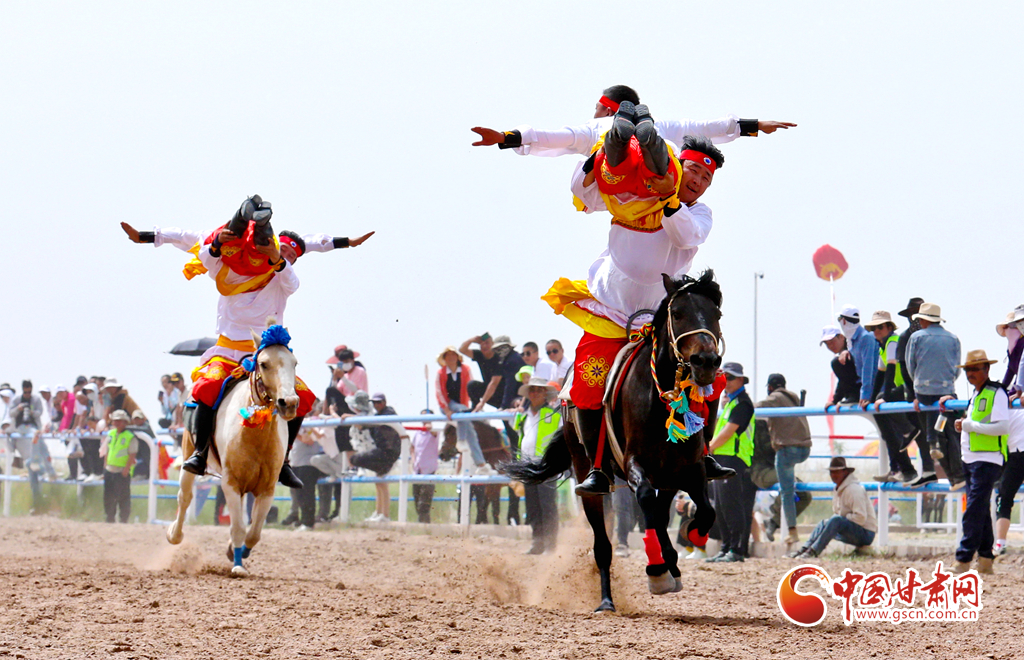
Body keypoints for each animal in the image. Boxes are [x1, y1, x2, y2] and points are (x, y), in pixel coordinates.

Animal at [166, 325, 299, 577]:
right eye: (264, 364)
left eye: (294, 363)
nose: (289, 402)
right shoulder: (231, 483)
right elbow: (238, 527)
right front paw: (238, 565)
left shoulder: (267, 488)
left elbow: (254, 533)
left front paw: (236, 553)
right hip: (188, 457)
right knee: (184, 497)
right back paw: (173, 534)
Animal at [505, 270, 724, 612]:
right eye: (677, 313)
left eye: (716, 314)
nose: (706, 361)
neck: (660, 399)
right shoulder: (634, 463)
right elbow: (647, 500)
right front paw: (658, 570)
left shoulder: (689, 468)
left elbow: (704, 510)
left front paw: (690, 541)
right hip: (588, 473)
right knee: (603, 544)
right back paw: (607, 599)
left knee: (659, 514)